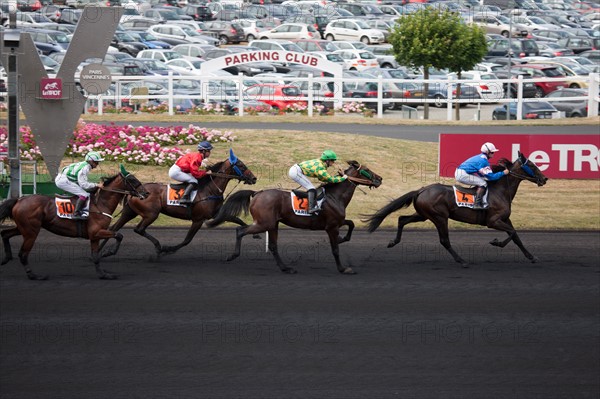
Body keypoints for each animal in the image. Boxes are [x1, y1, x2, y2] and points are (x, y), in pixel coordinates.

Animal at [0, 164, 148, 280]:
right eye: (133, 180)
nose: (146, 193)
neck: (100, 203)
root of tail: (19, 200)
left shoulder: (94, 236)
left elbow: (96, 256)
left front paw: (104, 274)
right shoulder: (96, 232)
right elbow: (119, 235)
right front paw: (109, 252)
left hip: (24, 228)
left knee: (5, 234)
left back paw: (6, 258)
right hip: (31, 232)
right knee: (23, 254)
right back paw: (34, 275)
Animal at [98, 148, 255, 258]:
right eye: (241, 165)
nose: (254, 178)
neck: (210, 189)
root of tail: (136, 192)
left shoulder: (215, 214)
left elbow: (236, 219)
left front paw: (254, 233)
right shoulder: (198, 219)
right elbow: (187, 240)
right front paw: (168, 249)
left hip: (129, 212)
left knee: (114, 228)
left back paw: (102, 250)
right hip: (151, 214)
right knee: (139, 229)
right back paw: (159, 248)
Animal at [206, 160, 382, 276]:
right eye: (367, 169)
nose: (380, 179)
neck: (334, 196)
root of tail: (257, 193)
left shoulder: (336, 222)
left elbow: (351, 224)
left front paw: (342, 238)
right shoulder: (331, 227)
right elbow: (335, 249)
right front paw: (343, 268)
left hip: (272, 224)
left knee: (273, 246)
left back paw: (286, 268)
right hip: (264, 223)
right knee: (240, 231)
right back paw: (232, 255)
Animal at [366, 152, 548, 268]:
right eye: (532, 165)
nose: (545, 178)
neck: (499, 191)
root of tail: (421, 190)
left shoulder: (505, 219)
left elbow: (516, 236)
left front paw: (532, 257)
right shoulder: (493, 221)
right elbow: (511, 233)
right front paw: (496, 242)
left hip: (423, 215)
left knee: (402, 219)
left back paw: (393, 242)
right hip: (439, 217)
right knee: (444, 240)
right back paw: (462, 261)